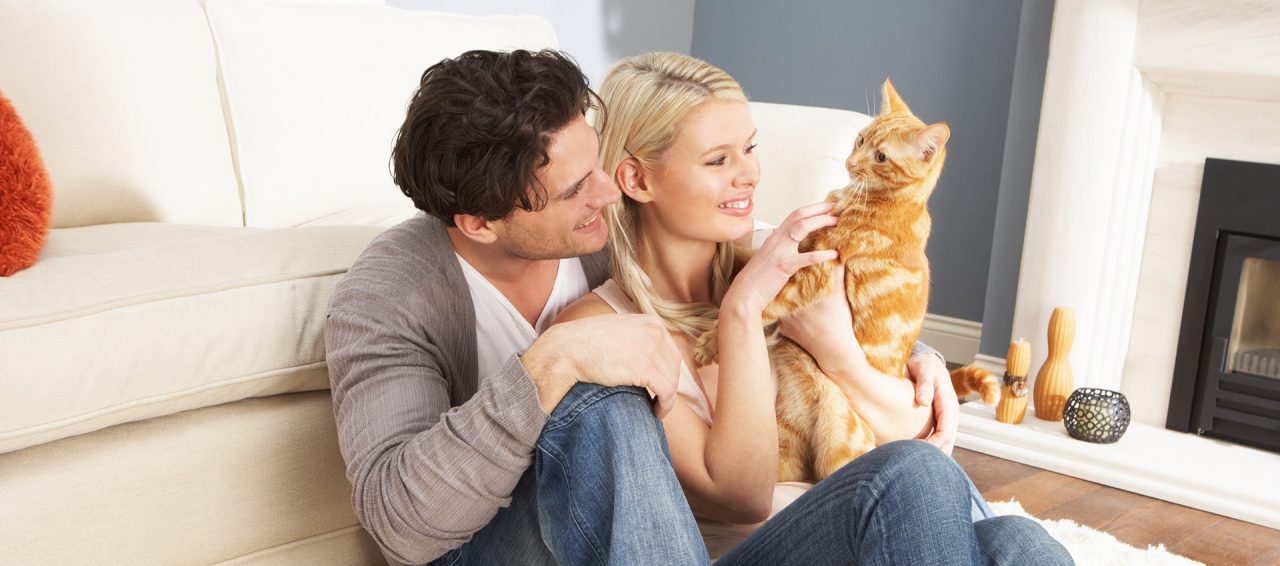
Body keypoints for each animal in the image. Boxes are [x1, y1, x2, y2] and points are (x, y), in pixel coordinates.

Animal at [701, 79, 998, 478]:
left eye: (881, 157)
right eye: (860, 140)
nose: (850, 162)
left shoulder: (813, 270)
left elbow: (763, 299)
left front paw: (709, 341)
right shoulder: (794, 247)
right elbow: (749, 260)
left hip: (839, 446)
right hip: (784, 447)